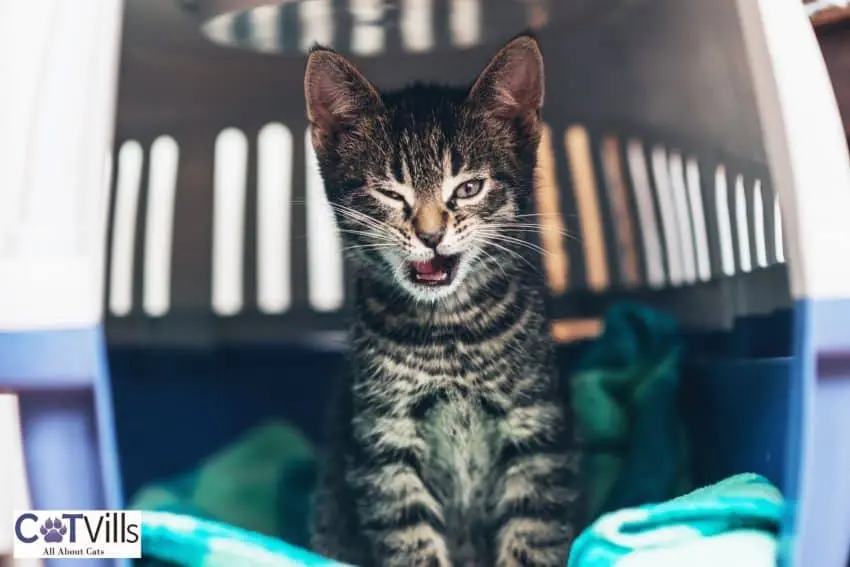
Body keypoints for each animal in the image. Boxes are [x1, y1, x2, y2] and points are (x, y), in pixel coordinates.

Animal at [304, 35, 584, 567]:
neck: (450, 329)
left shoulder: (536, 430)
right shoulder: (383, 443)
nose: (431, 236)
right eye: (391, 193)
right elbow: (410, 539)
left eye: (469, 187)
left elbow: (531, 534)